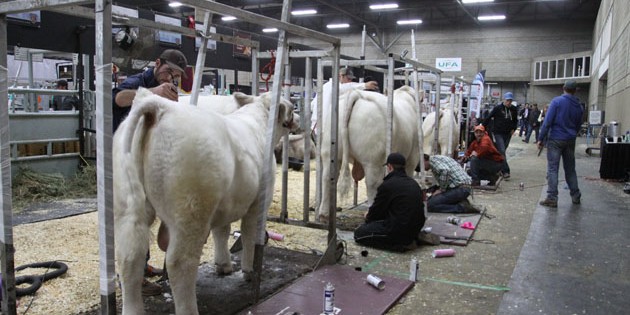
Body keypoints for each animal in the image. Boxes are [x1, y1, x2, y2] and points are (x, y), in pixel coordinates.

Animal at [113, 89, 296, 315]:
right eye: (292, 109)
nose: (297, 118)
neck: (257, 123)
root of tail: (160, 107)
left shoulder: (226, 204)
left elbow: (222, 231)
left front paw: (223, 265)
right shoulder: (259, 201)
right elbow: (248, 234)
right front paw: (248, 270)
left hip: (127, 206)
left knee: (130, 256)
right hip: (191, 211)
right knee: (179, 262)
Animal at [318, 85, 422, 221]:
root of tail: (357, 95)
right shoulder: (412, 157)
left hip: (329, 151)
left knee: (327, 178)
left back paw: (323, 214)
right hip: (373, 159)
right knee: (372, 183)